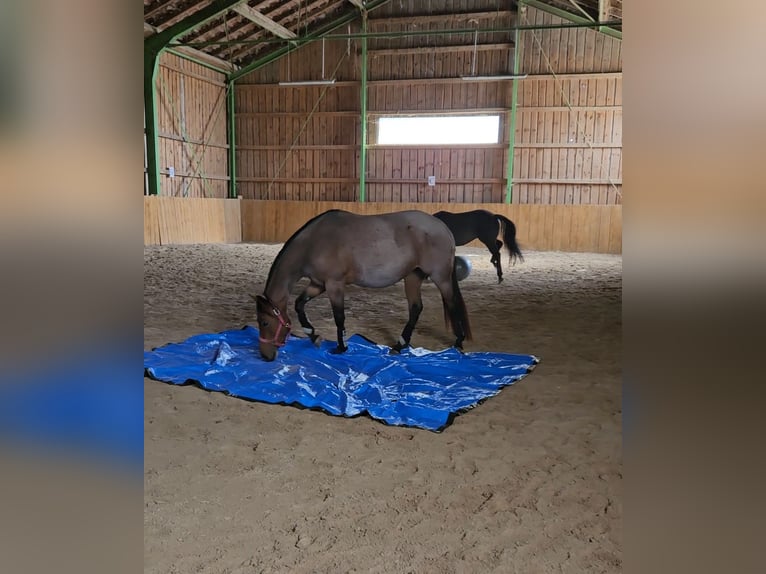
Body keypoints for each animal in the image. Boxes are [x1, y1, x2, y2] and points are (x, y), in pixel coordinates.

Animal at [254, 209, 472, 361]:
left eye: (264, 322)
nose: (265, 356)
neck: (313, 243)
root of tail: (443, 228)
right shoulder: (318, 284)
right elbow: (299, 305)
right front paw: (314, 336)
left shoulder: (334, 284)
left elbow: (339, 317)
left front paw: (341, 347)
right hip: (412, 277)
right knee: (416, 308)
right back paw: (400, 345)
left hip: (441, 278)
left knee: (452, 303)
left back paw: (458, 342)